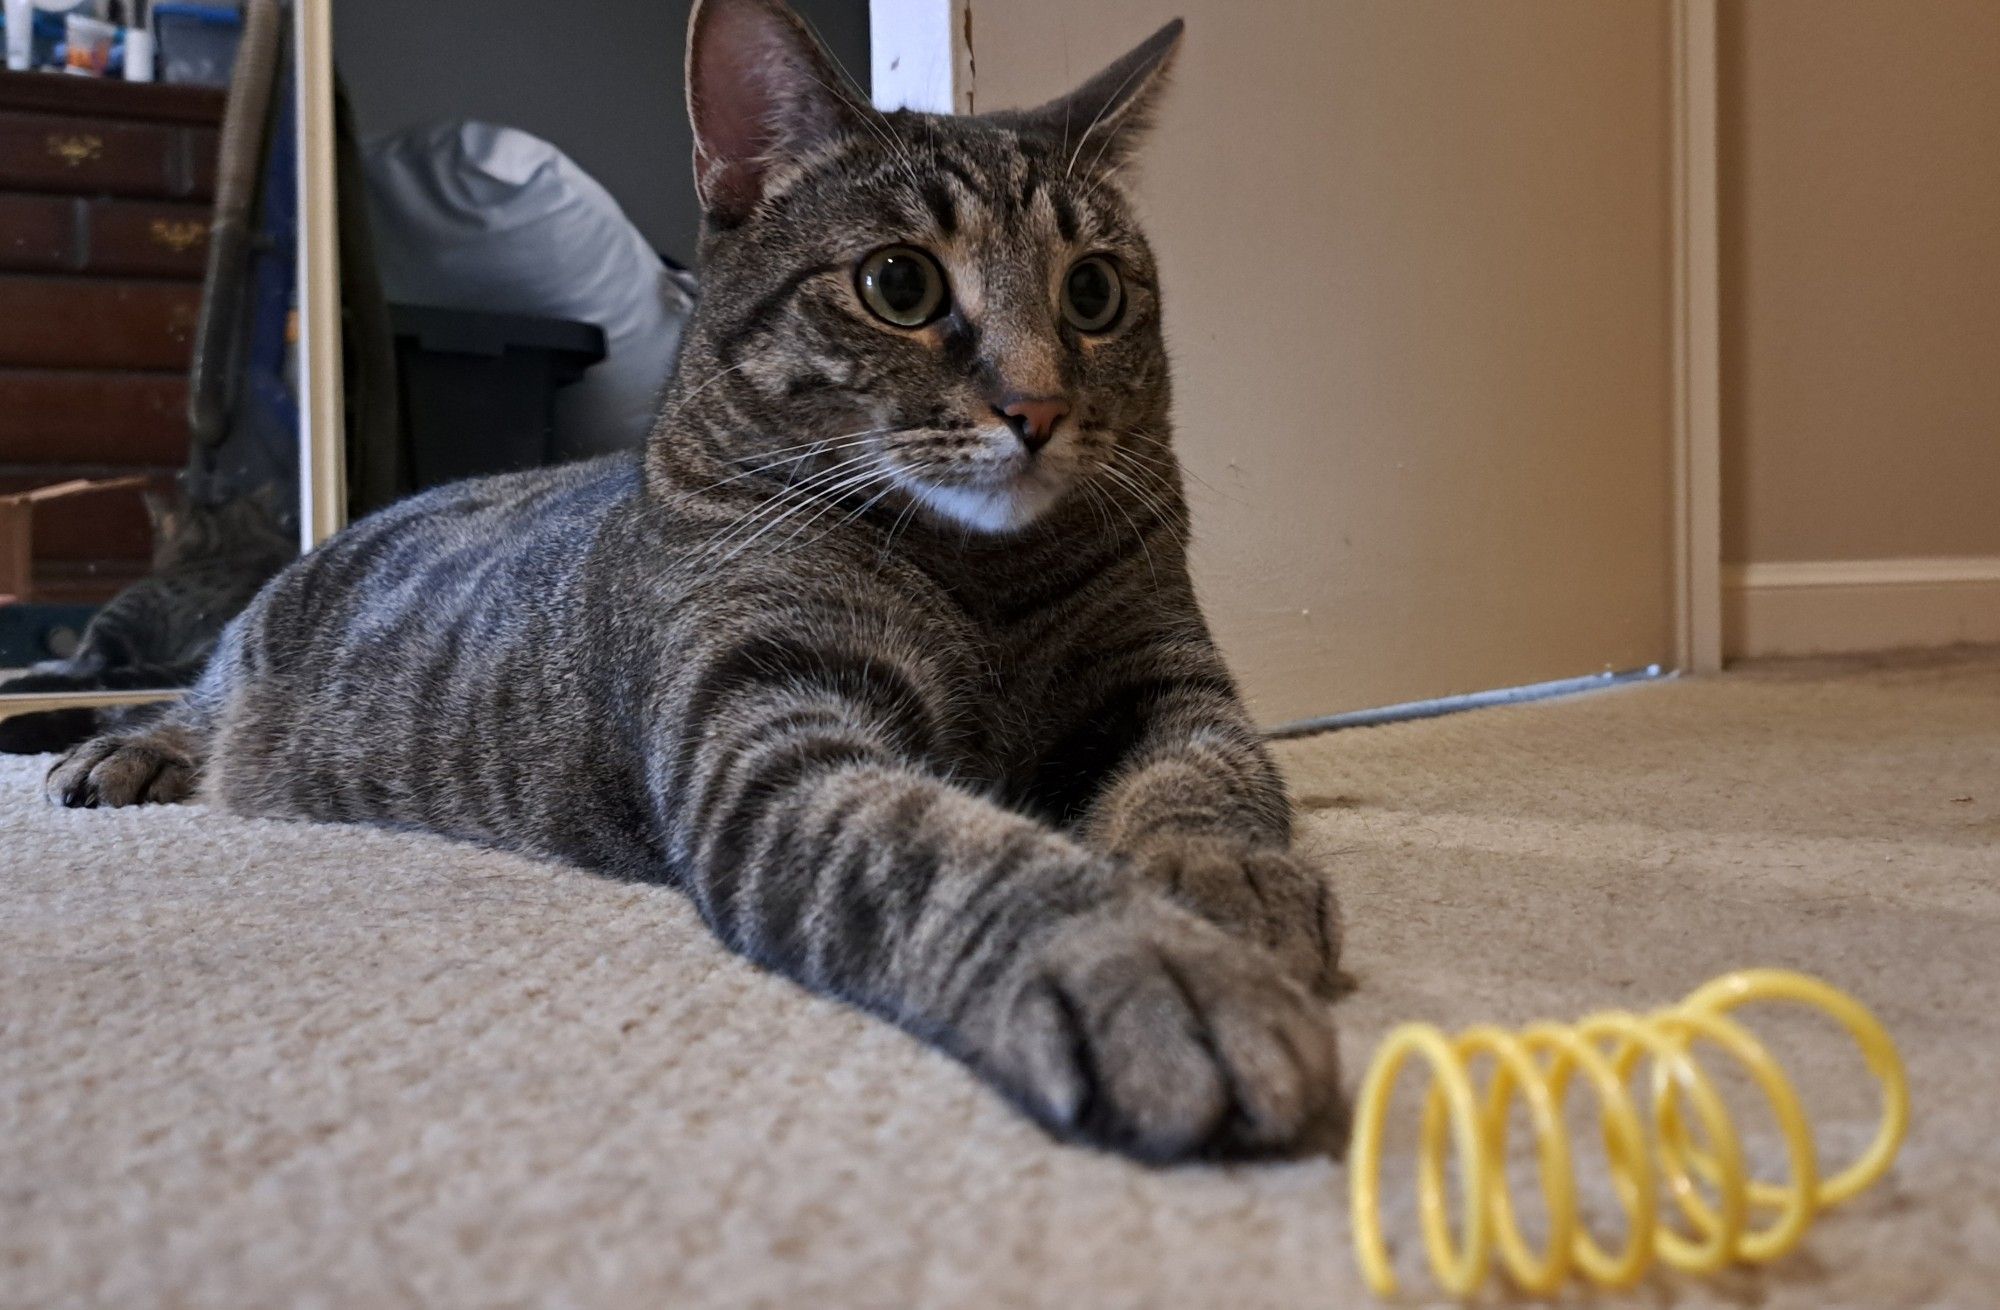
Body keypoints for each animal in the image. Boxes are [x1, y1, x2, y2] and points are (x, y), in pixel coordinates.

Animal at [47, 2, 1352, 1168]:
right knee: (191, 695)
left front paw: (1214, 877)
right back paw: (120, 751)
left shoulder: (1163, 675)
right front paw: (1146, 959)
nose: (1035, 405)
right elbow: (944, 843)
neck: (976, 577)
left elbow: (1204, 773)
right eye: (899, 285)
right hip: (253, 646)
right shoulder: (762, 724)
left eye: (1092, 292)